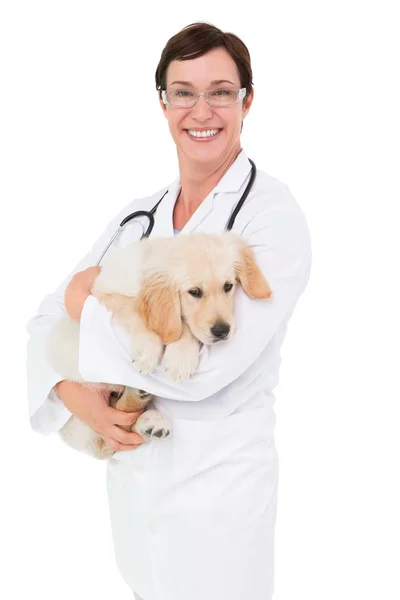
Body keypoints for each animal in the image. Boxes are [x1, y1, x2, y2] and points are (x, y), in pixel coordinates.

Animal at [47, 231, 272, 460]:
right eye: (195, 292)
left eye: (228, 286)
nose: (222, 331)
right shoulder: (104, 294)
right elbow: (144, 310)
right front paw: (152, 351)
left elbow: (181, 324)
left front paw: (180, 357)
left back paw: (148, 423)